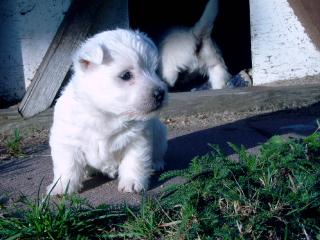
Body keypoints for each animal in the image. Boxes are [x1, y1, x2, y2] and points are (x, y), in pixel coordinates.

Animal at [48, 29, 168, 195]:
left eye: (155, 71)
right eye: (126, 75)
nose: (160, 94)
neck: (106, 114)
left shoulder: (138, 139)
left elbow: (134, 161)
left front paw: (132, 183)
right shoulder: (67, 141)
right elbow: (67, 166)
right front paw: (62, 186)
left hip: (160, 133)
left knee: (158, 152)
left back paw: (156, 164)